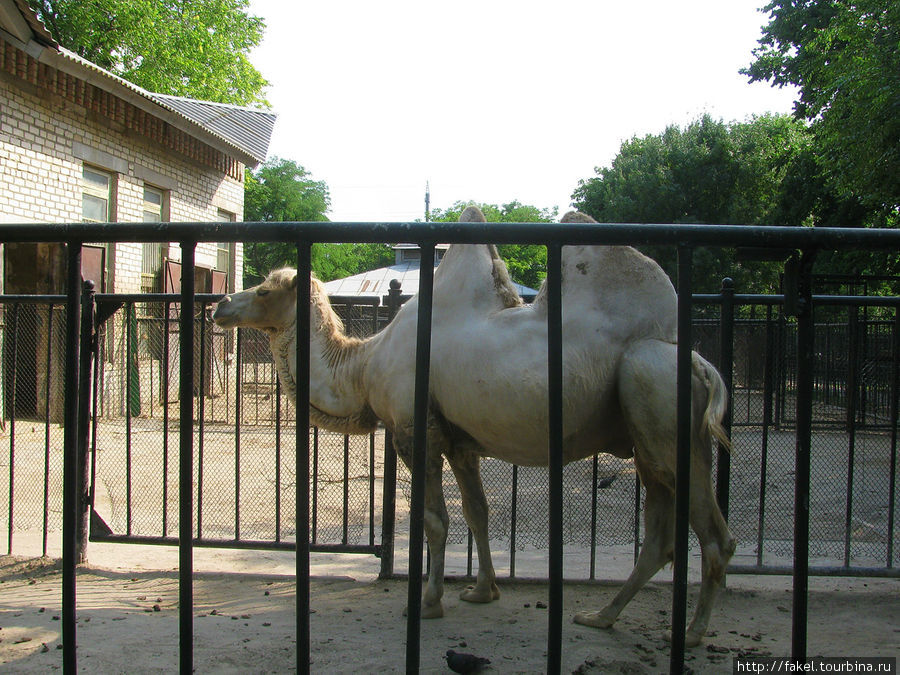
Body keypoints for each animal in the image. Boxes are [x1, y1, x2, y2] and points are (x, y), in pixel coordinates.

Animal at [214, 207, 736, 648]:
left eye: (264, 291)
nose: (219, 304)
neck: (363, 366)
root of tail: (698, 362)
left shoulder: (414, 431)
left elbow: (434, 519)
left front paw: (428, 603)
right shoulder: (458, 440)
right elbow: (477, 511)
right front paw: (482, 590)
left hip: (655, 397)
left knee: (714, 536)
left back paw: (690, 633)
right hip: (647, 441)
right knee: (661, 537)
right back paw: (601, 616)